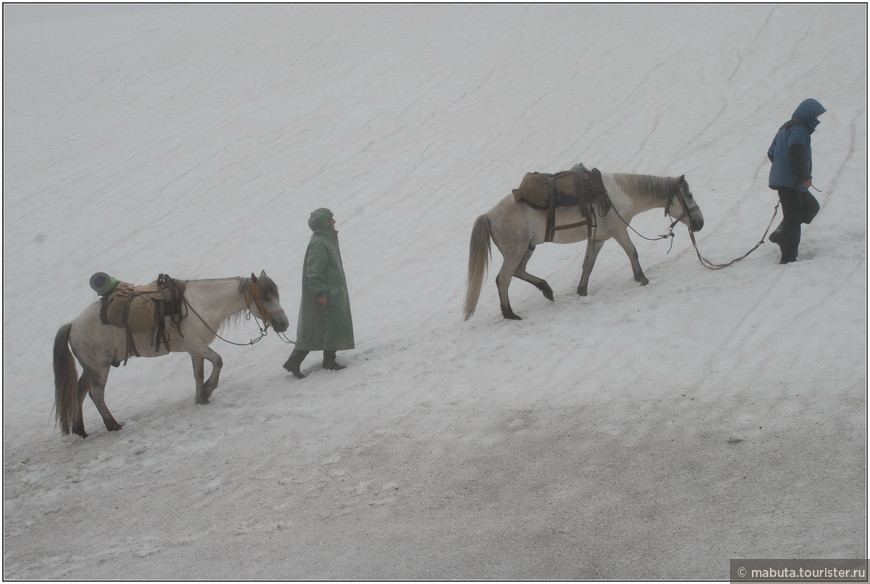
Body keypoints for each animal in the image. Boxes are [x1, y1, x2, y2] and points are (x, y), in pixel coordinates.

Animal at [55, 272, 292, 436]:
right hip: (100, 368)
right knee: (96, 394)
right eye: (266, 297)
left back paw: (80, 430)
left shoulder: (195, 351)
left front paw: (201, 397)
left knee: (79, 392)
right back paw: (112, 424)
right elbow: (218, 361)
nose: (284, 324)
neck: (201, 304)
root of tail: (73, 325)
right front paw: (208, 390)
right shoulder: (196, 346)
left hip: (91, 368)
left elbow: (198, 373)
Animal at [466, 173, 704, 320]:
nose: (699, 223)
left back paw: (546, 290)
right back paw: (510, 314)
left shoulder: (598, 239)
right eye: (689, 195)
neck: (621, 193)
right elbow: (632, 252)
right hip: (515, 251)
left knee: (518, 271)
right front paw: (642, 279)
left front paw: (582, 291)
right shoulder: (619, 231)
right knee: (503, 279)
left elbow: (588, 264)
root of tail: (489, 215)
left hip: (528, 247)